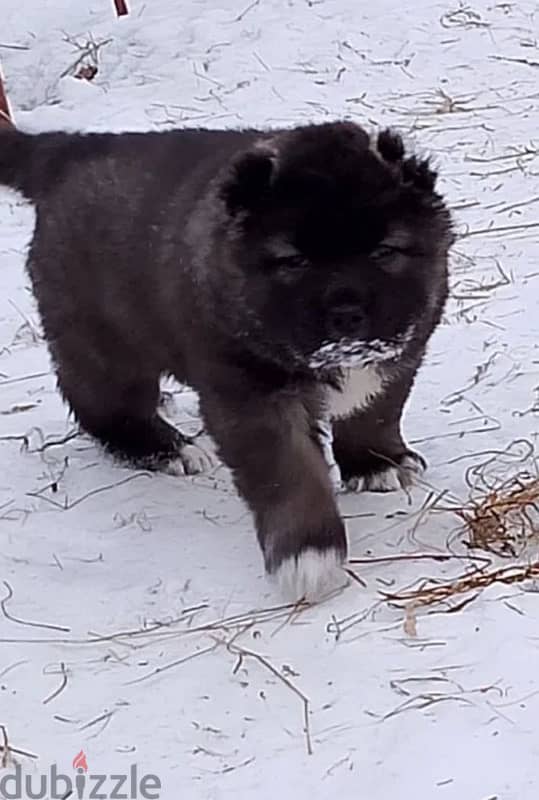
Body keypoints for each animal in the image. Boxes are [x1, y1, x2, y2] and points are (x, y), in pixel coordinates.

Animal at [0, 122, 456, 600]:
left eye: (385, 251)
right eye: (294, 261)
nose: (347, 313)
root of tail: (69, 152)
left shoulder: (402, 351)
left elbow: (377, 412)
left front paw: (374, 465)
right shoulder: (252, 395)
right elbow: (290, 472)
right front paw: (309, 555)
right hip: (105, 337)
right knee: (102, 403)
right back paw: (166, 448)